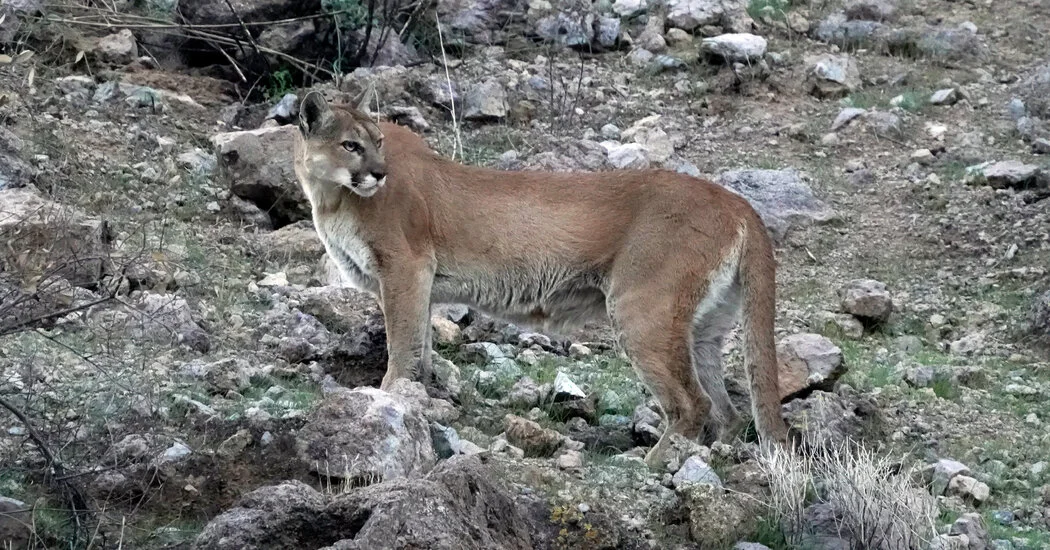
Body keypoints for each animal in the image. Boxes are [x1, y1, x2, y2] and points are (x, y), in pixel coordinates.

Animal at [292, 89, 789, 467]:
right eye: (351, 145)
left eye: (376, 141)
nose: (378, 173)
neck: (332, 197)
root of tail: (735, 200)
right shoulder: (420, 285)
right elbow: (422, 347)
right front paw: (424, 399)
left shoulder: (404, 269)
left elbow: (401, 343)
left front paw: (387, 397)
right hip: (705, 326)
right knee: (728, 410)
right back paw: (717, 457)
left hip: (642, 310)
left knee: (694, 403)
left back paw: (653, 463)